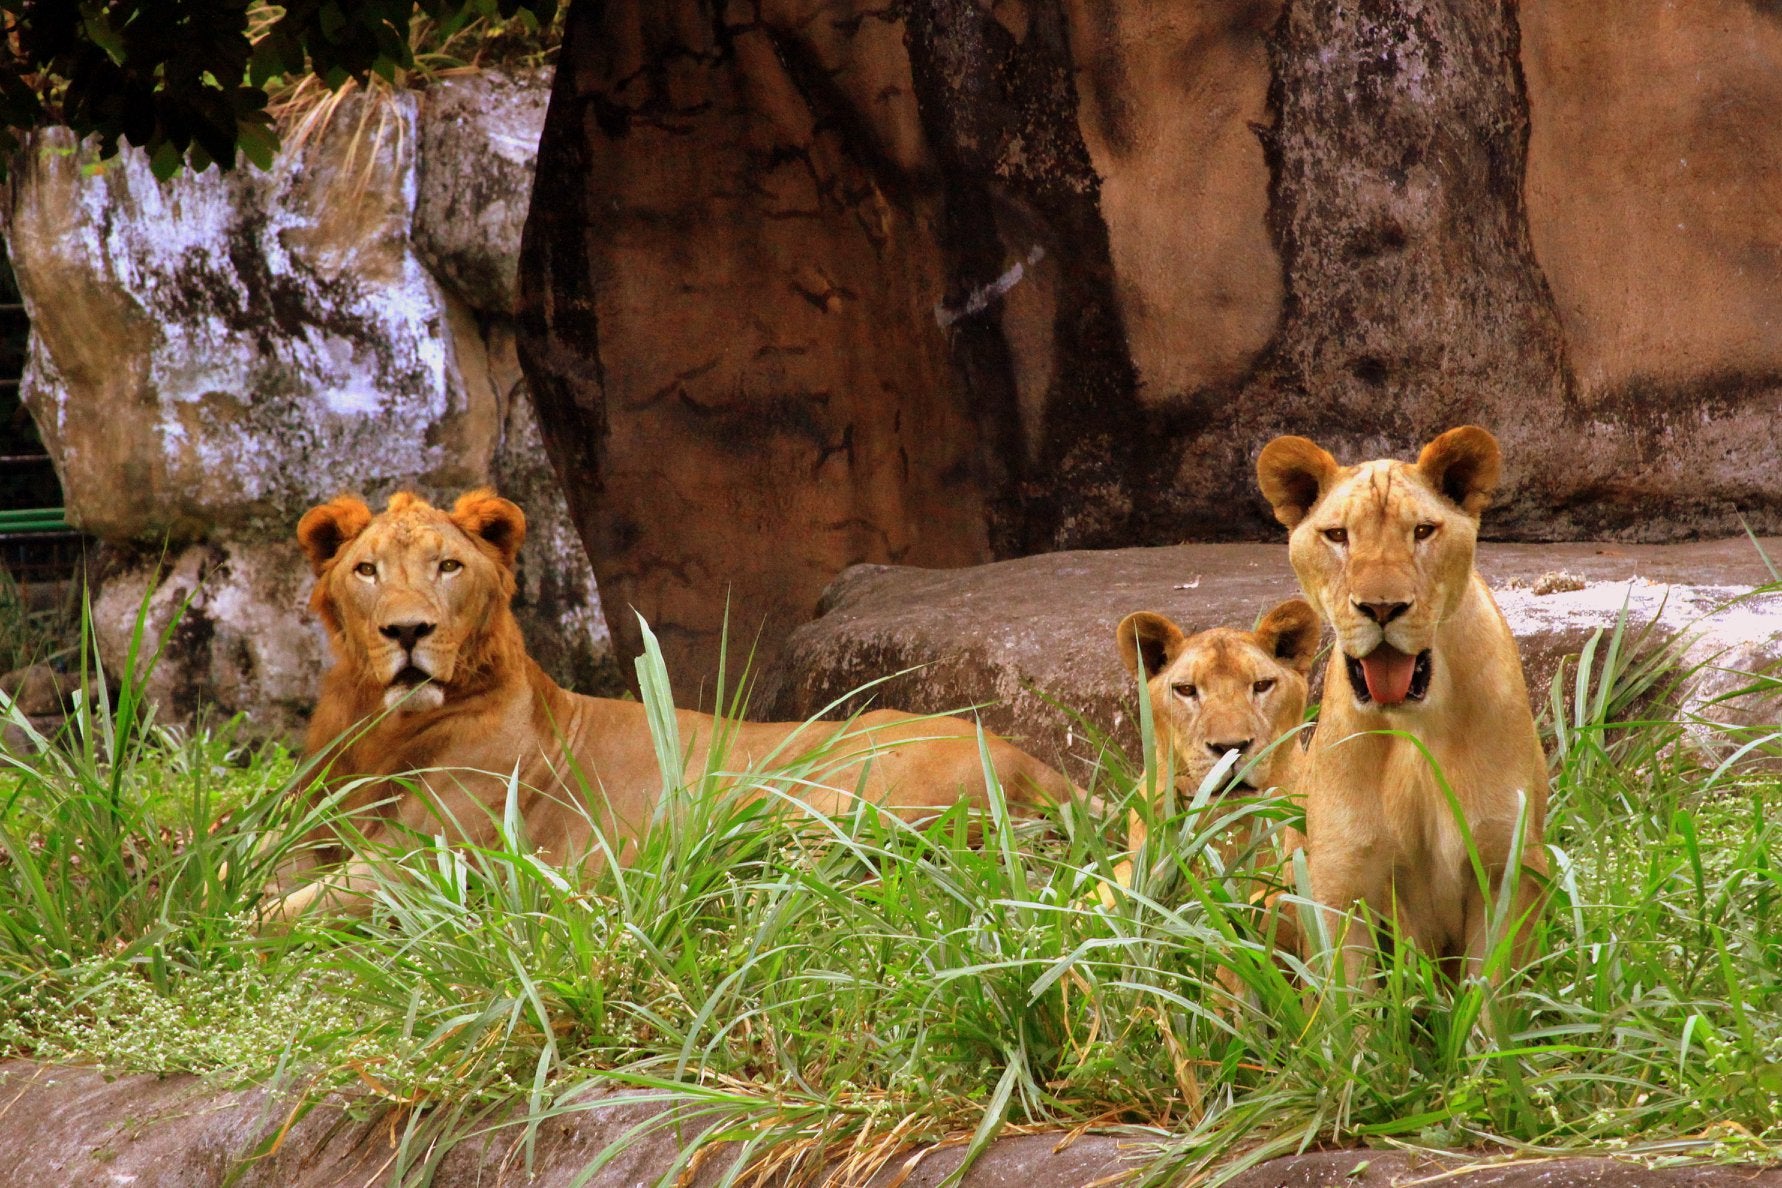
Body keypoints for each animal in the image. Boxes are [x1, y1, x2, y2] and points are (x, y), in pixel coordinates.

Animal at [270, 489, 1076, 919]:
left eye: (448, 566)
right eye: (367, 571)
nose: (408, 631)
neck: (378, 729)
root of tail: (1036, 765)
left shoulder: (429, 863)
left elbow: (277, 913)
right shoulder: (306, 837)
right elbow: (257, 868)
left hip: (829, 807)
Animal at [1256, 425, 1548, 981]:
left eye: (1423, 531)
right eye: (1337, 535)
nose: (1382, 607)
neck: (1413, 727)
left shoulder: (1504, 868)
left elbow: (1487, 993)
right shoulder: (1339, 882)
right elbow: (1348, 1001)